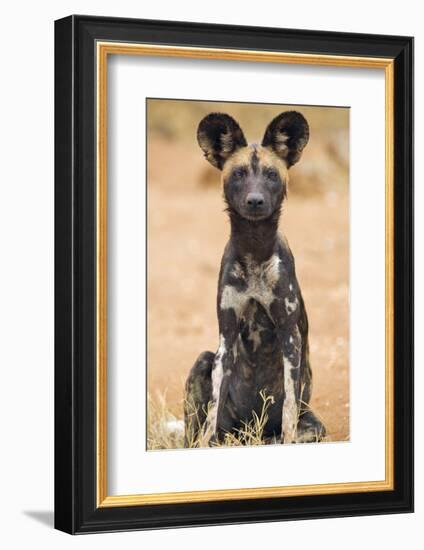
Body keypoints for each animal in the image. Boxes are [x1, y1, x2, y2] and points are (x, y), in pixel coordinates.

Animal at [184, 112, 326, 448]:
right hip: (204, 361)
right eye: (238, 174)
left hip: (314, 426)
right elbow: (211, 414)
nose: (255, 200)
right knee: (198, 431)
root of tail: (251, 433)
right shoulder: (226, 338)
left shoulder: (290, 336)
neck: (254, 250)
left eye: (271, 174)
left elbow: (288, 409)